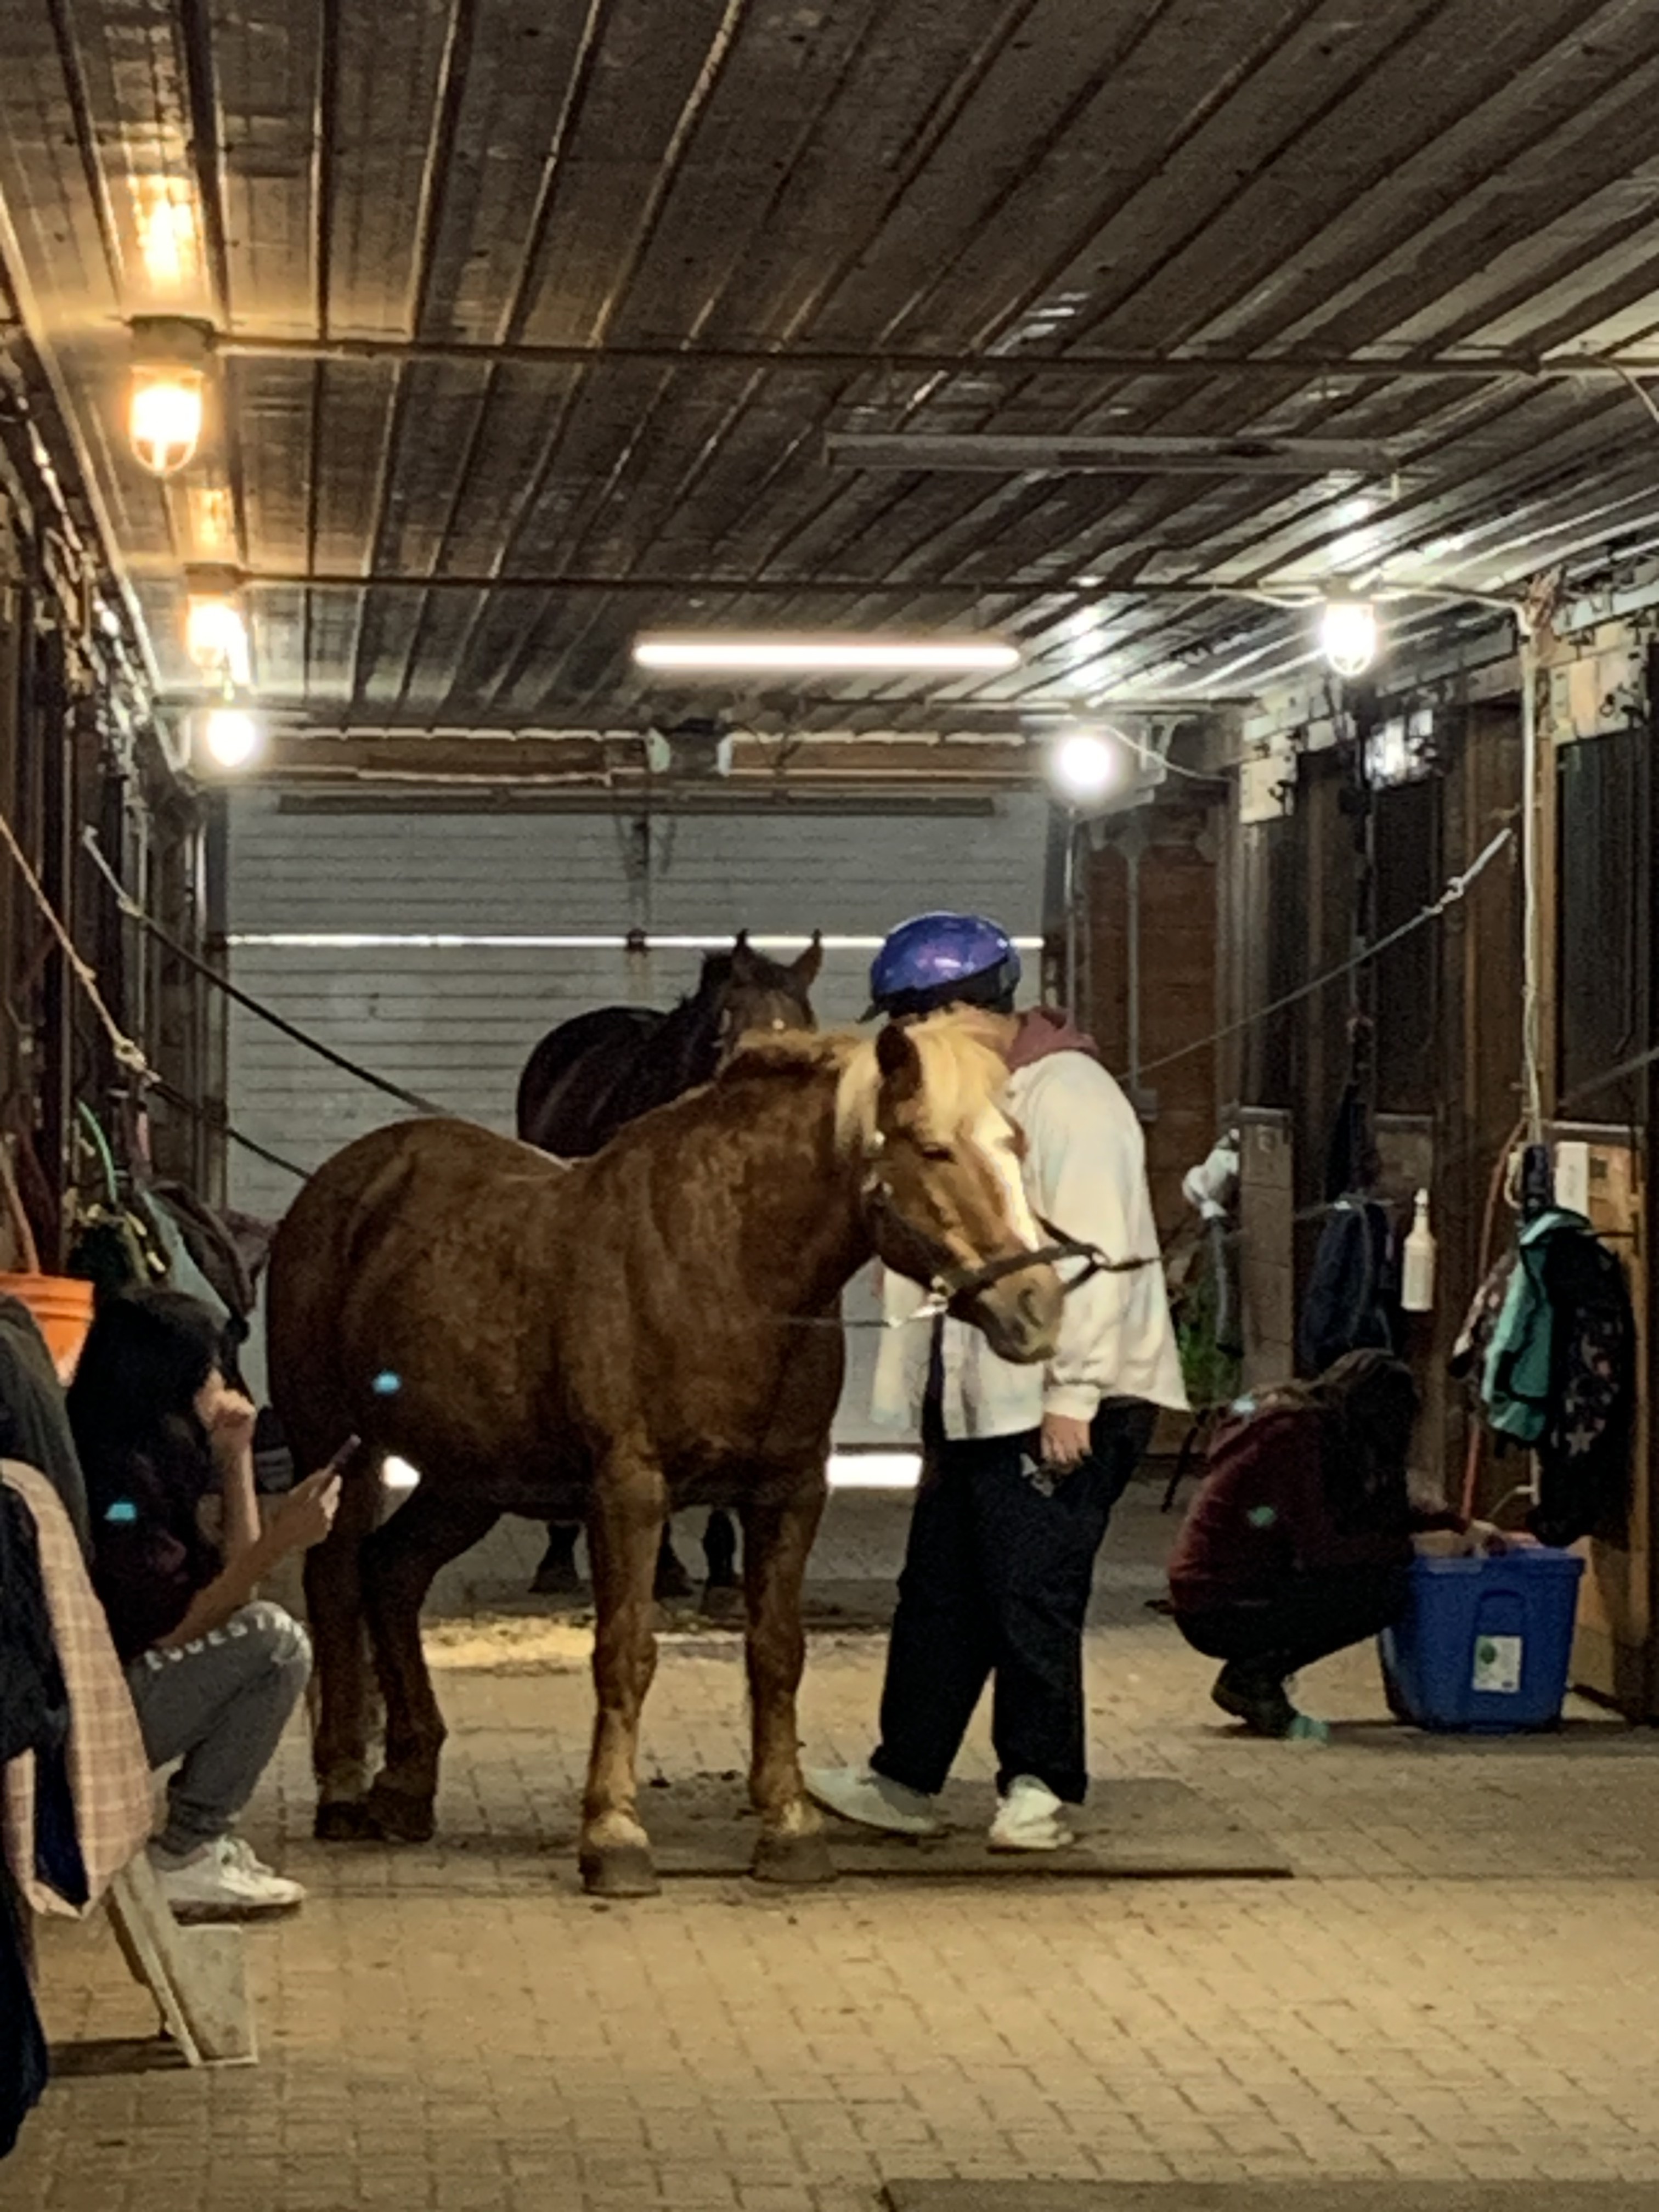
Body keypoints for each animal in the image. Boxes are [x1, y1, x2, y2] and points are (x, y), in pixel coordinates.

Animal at [266, 1012, 1063, 1896]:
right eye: (930, 1147)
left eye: (1016, 1142)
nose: (1037, 1306)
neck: (724, 1268)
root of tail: (345, 1181)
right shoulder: (629, 1490)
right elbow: (626, 1652)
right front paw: (614, 1836)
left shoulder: (788, 1491)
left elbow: (776, 1653)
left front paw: (789, 1830)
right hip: (339, 1446)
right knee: (336, 1582)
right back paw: (343, 1789)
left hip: (471, 1477)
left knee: (393, 1575)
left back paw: (406, 1787)